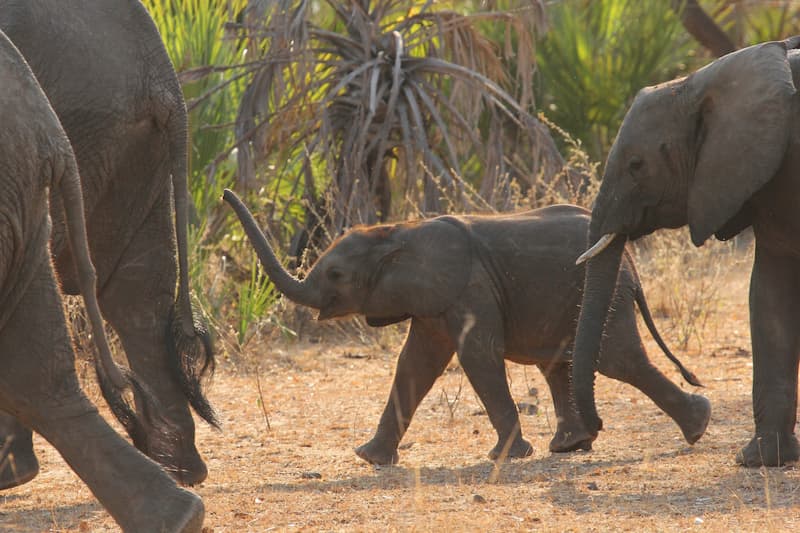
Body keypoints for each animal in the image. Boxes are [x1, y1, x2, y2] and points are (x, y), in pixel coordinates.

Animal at [223, 190, 708, 462]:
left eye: (336, 275)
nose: (224, 194)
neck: (398, 231)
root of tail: (630, 263)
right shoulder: (433, 299)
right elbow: (414, 365)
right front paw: (369, 460)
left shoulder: (468, 286)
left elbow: (476, 357)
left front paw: (506, 458)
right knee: (560, 365)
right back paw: (570, 447)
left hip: (609, 297)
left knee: (616, 360)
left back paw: (698, 426)